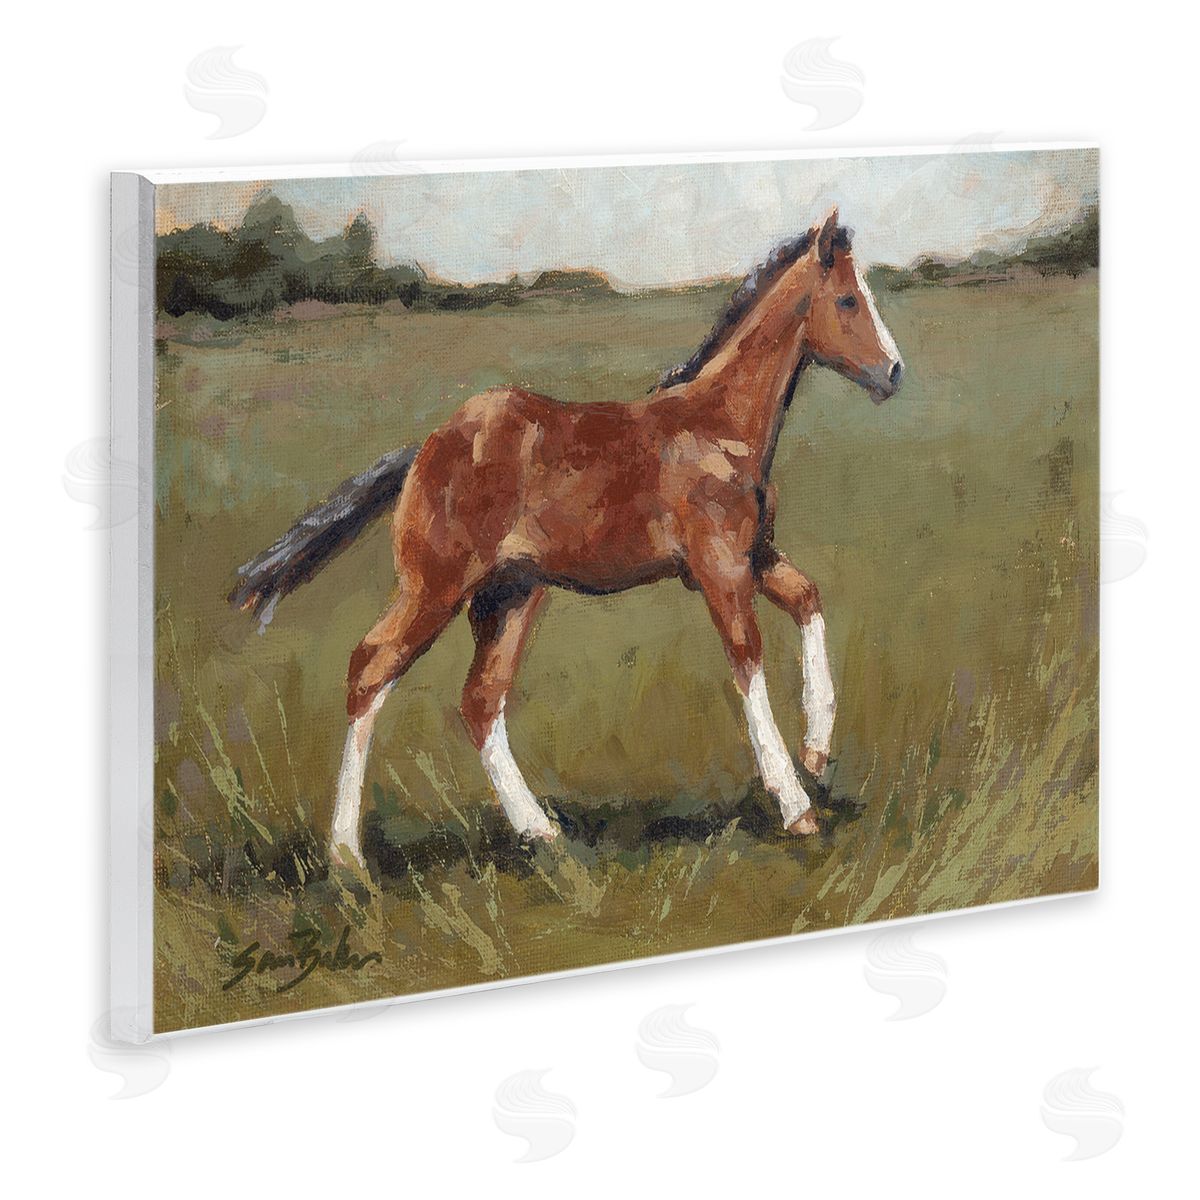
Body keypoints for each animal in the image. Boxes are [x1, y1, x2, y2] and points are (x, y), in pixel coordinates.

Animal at [229, 208, 904, 867]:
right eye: (848, 299)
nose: (894, 373)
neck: (719, 429)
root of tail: (424, 447)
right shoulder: (720, 569)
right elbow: (748, 661)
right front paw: (795, 805)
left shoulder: (754, 556)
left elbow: (809, 600)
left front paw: (817, 752)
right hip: (436, 586)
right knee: (371, 668)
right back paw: (346, 854)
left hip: (510, 594)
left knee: (481, 701)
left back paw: (540, 833)